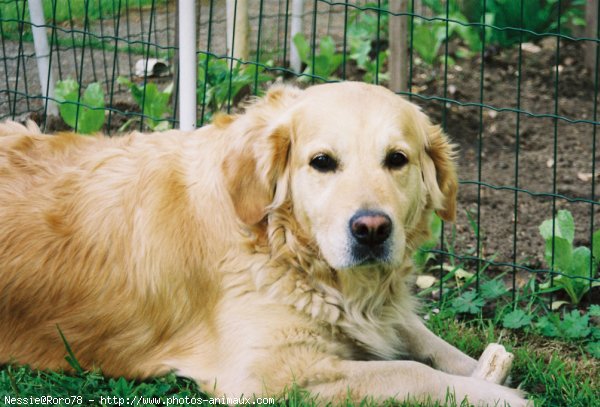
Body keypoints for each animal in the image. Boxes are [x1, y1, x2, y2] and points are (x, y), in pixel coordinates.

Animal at [0, 81, 524, 406]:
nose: (372, 229)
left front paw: (484, 370)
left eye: (397, 159)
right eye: (322, 161)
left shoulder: (382, 317)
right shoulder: (268, 375)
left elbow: (430, 344)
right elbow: (408, 372)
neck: (276, 241)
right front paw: (497, 395)